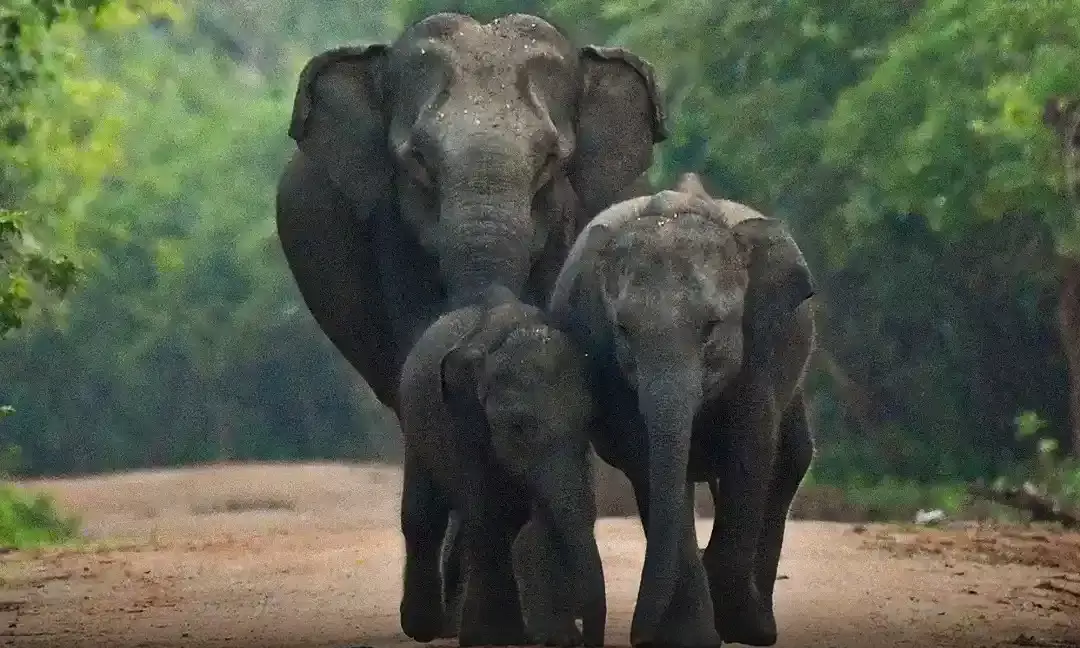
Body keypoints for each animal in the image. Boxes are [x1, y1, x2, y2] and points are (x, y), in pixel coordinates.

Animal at [397, 284, 605, 647]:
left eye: (588, 424)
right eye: (518, 427)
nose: (584, 640)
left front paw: (552, 637)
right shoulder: (463, 423)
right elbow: (488, 512)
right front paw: (491, 637)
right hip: (416, 427)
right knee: (424, 517)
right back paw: (422, 629)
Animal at [543, 173, 817, 648]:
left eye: (711, 327)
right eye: (623, 330)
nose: (636, 635)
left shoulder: (761, 352)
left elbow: (750, 451)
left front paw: (738, 625)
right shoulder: (605, 362)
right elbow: (646, 459)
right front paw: (689, 636)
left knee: (790, 460)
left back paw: (759, 626)